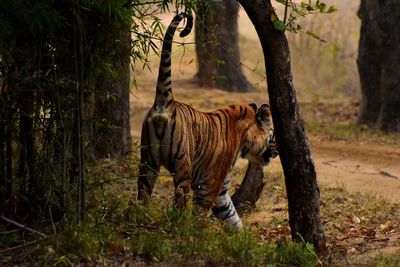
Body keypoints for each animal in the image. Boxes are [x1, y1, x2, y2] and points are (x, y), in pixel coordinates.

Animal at [138, 12, 278, 230]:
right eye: (272, 135)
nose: (277, 152)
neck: (243, 141)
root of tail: (165, 103)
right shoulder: (209, 183)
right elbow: (201, 211)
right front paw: (198, 232)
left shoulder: (221, 189)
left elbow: (231, 215)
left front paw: (242, 236)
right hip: (183, 166)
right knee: (179, 202)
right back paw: (178, 227)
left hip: (147, 163)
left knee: (140, 196)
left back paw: (140, 218)